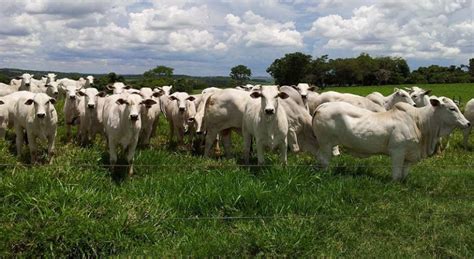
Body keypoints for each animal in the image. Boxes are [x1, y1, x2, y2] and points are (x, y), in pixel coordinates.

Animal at [312, 97, 470, 181]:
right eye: (452, 108)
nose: (468, 123)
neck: (420, 122)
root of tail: (322, 105)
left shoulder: (410, 154)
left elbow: (404, 173)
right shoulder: (397, 151)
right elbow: (396, 173)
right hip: (326, 143)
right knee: (324, 159)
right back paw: (325, 174)